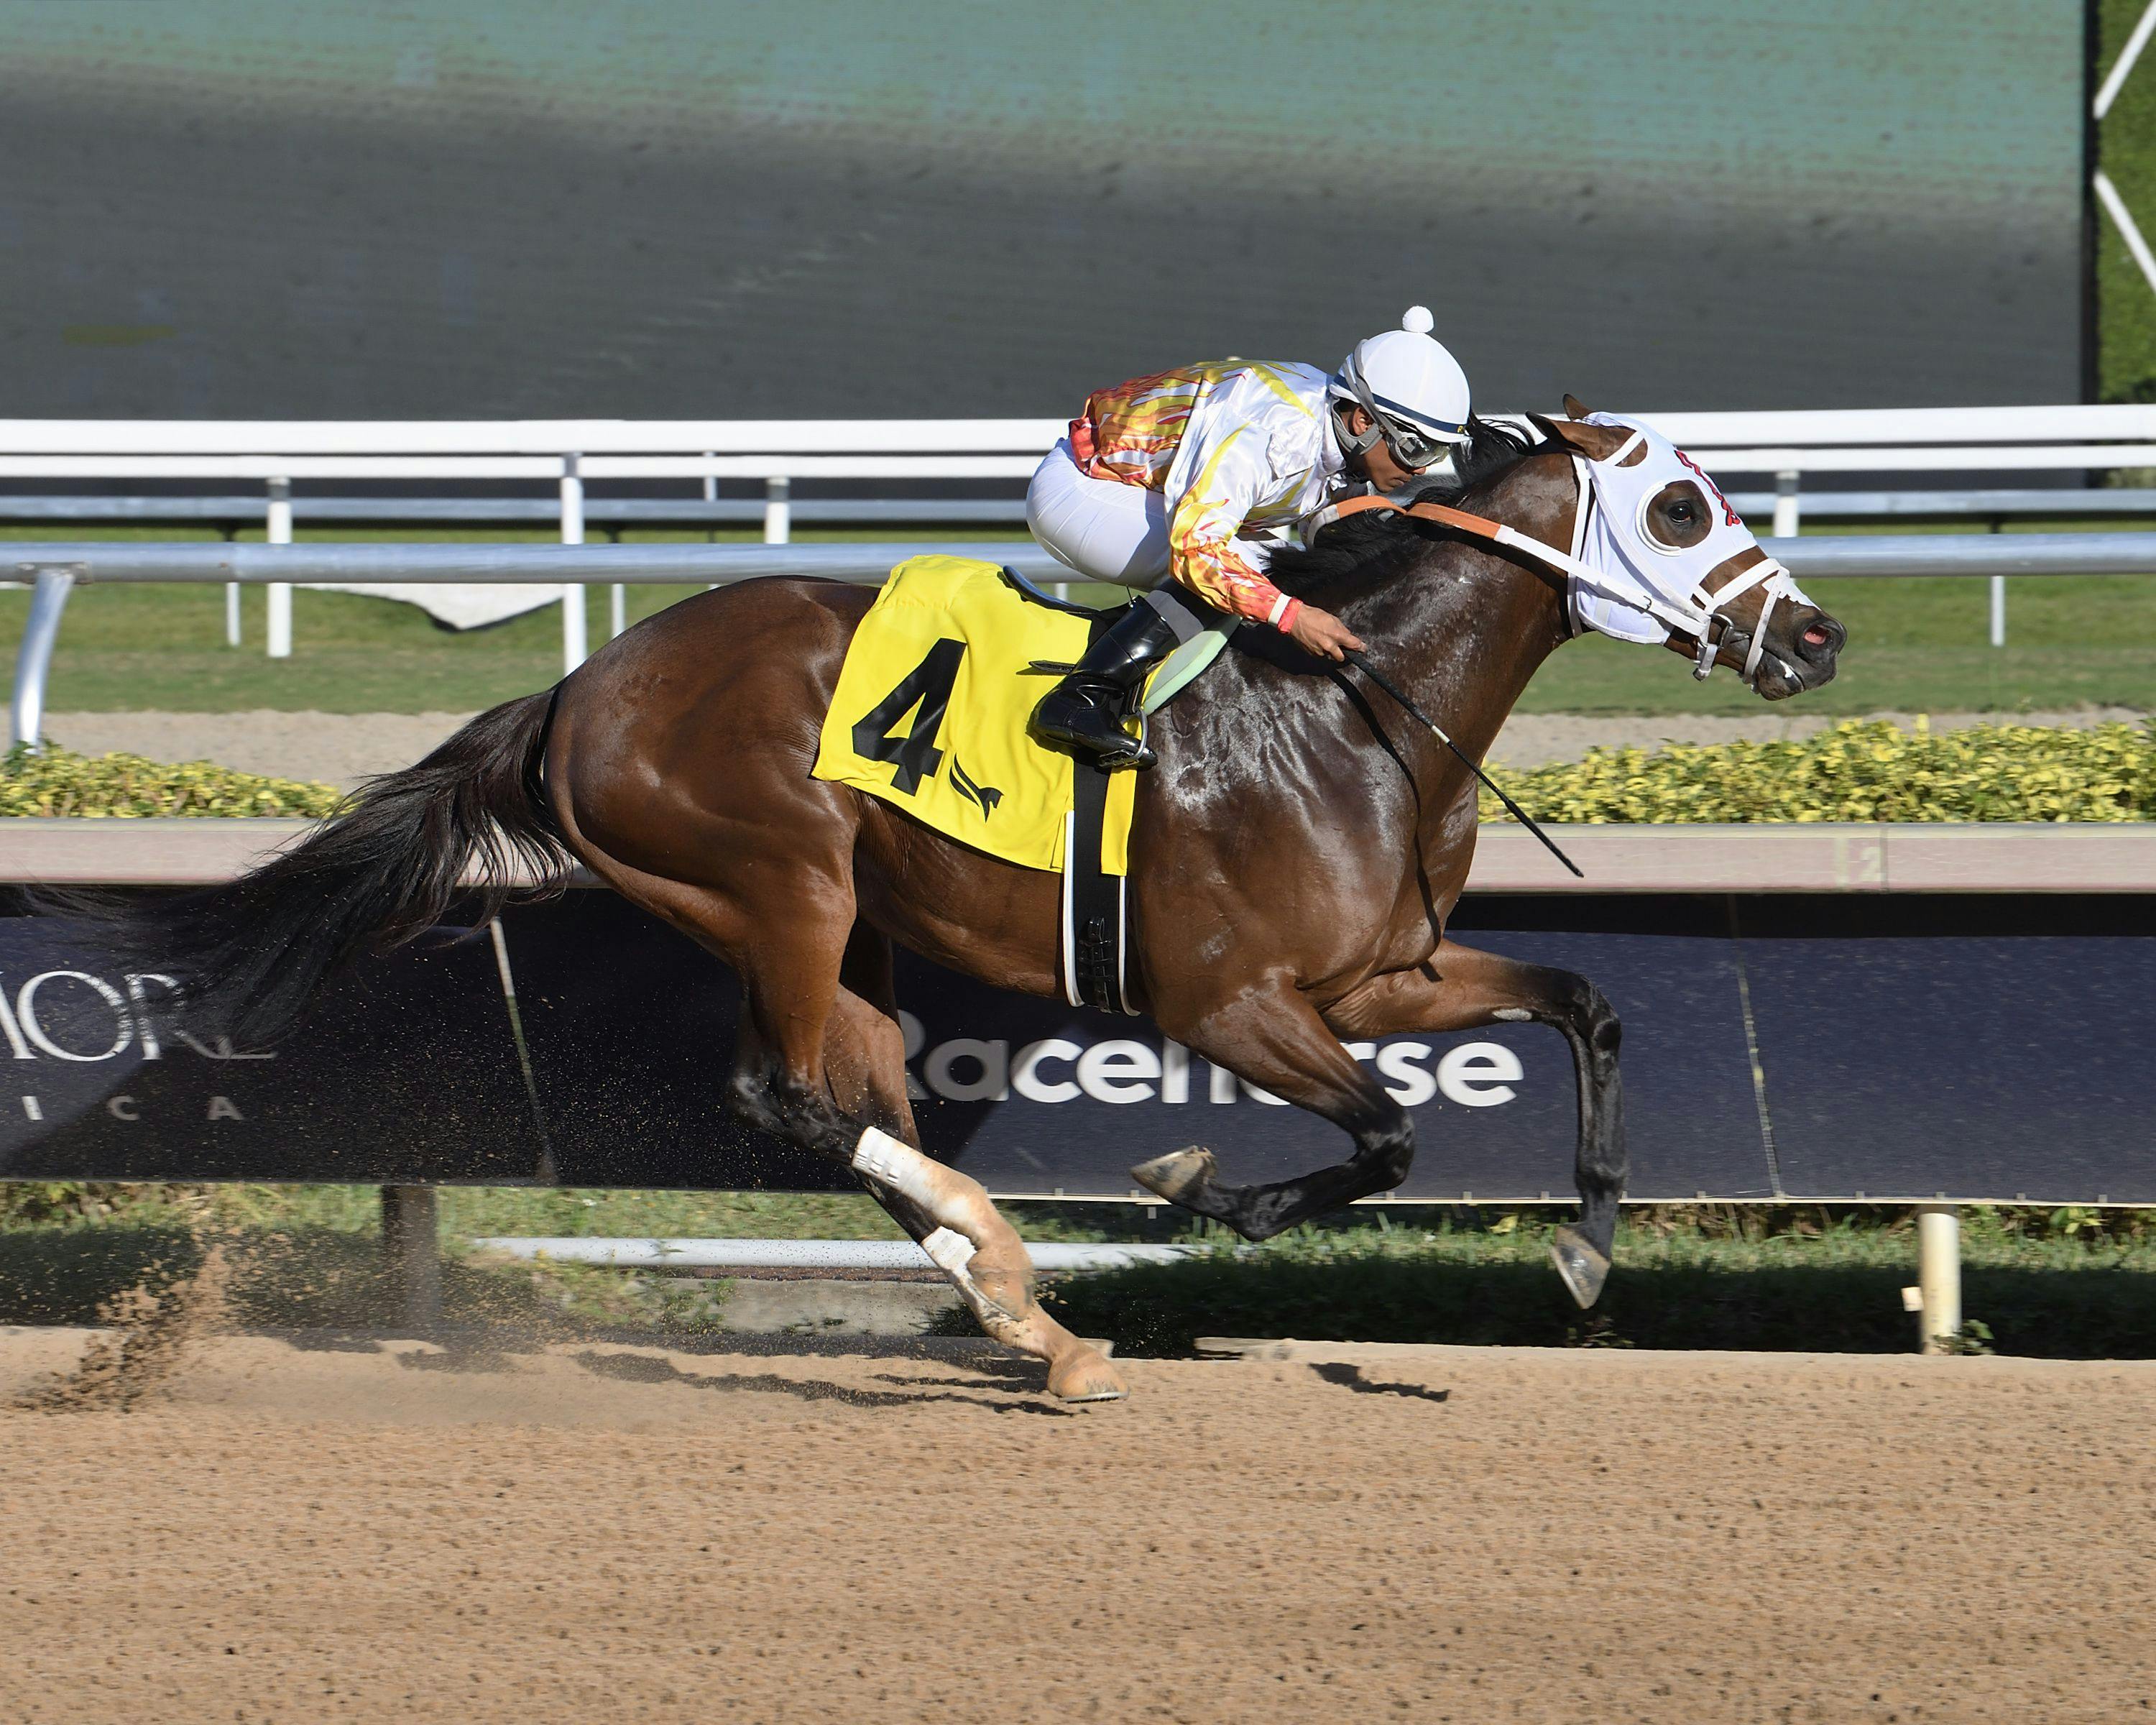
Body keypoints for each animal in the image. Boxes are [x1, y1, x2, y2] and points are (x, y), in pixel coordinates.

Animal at [122, 414, 1837, 1397]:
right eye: (1680, 511)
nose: (1816, 639)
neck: (1355, 707)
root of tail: (577, 690)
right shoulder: (1229, 1003)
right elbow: (1387, 1139)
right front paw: (1197, 1185)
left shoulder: (1382, 977)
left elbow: (1586, 1010)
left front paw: (1589, 1253)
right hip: (779, 886)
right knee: (780, 1095)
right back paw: (1012, 1276)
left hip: (848, 932)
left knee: (859, 1099)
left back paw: (1029, 1319)